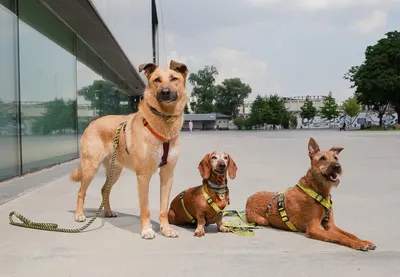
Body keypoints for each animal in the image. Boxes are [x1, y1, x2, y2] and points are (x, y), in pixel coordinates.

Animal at [70, 59, 189, 238]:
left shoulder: (168, 174)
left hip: (115, 171)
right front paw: (147, 230)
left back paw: (108, 211)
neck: (164, 122)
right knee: (80, 192)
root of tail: (92, 122)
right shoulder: (143, 176)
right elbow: (145, 209)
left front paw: (166, 229)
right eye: (157, 80)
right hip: (91, 167)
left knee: (104, 189)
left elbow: (163, 208)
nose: (165, 92)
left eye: (174, 78)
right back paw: (79, 215)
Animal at [245, 137, 376, 251]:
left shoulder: (330, 225)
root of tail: (248, 198)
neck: (318, 190)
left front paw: (364, 241)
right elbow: (341, 236)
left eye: (336, 158)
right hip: (263, 220)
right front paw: (358, 244)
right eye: (322, 158)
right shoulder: (314, 228)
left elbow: (349, 234)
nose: (337, 166)